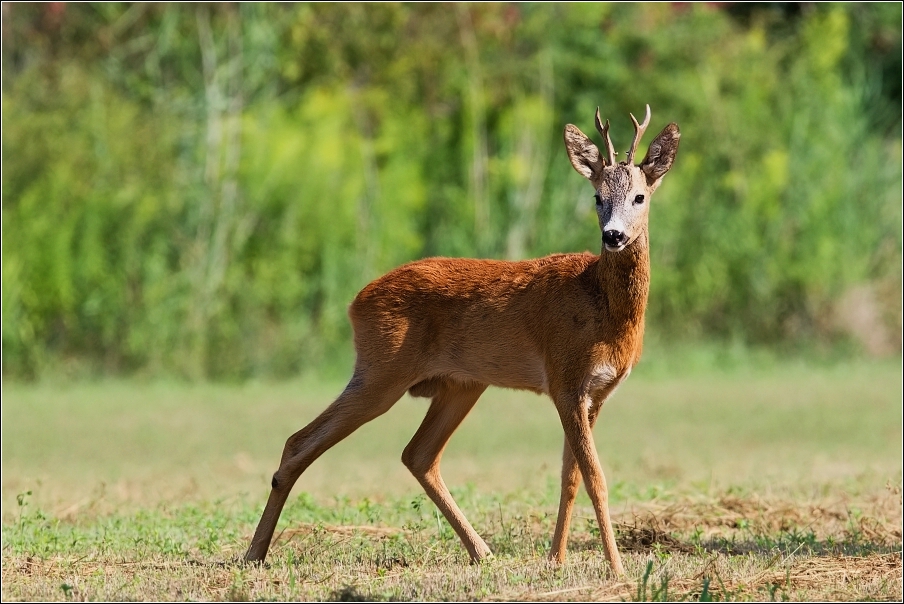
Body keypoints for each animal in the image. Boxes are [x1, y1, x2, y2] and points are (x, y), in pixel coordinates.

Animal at [244, 104, 680, 576]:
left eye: (639, 197)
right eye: (597, 197)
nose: (613, 236)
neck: (602, 305)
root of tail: (355, 302)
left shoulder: (594, 392)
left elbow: (571, 476)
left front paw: (557, 559)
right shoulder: (564, 379)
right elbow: (596, 477)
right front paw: (617, 568)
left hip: (460, 384)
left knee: (417, 454)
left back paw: (482, 551)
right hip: (382, 371)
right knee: (299, 441)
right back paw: (253, 554)